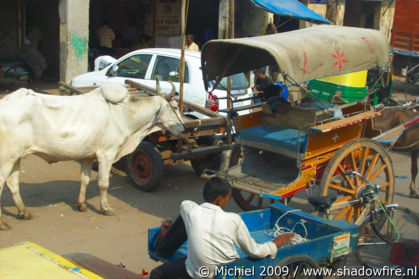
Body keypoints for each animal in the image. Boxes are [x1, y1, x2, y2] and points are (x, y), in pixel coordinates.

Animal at [0, 81, 184, 230]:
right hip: (6, 158)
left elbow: (85, 180)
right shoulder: (106, 154)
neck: (122, 114)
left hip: (16, 157)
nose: (182, 128)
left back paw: (24, 212)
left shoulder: (88, 156)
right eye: (175, 107)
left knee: (12, 183)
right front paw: (106, 208)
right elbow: (103, 183)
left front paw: (81, 205)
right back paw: (3, 222)